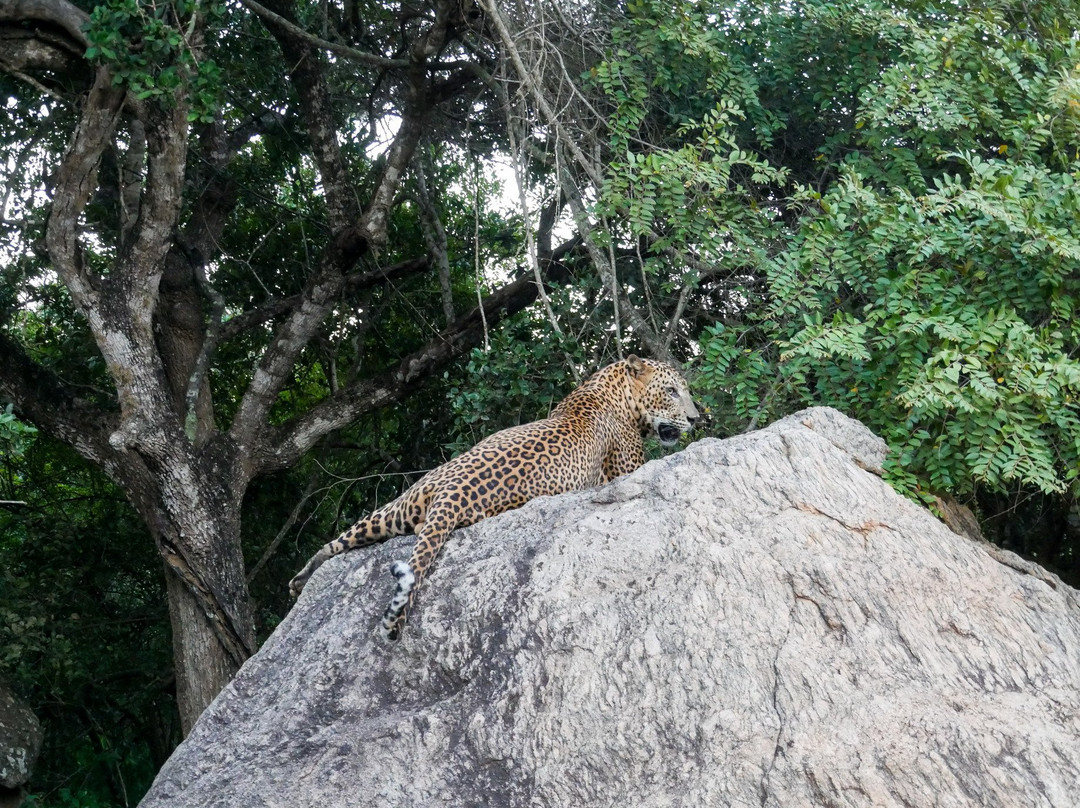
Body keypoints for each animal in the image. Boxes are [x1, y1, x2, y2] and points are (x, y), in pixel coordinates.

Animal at [289, 356, 699, 639]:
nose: (696, 419)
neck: (611, 387)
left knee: (338, 542)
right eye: (672, 391)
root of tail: (452, 492)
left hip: (397, 508)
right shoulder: (627, 467)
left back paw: (299, 582)